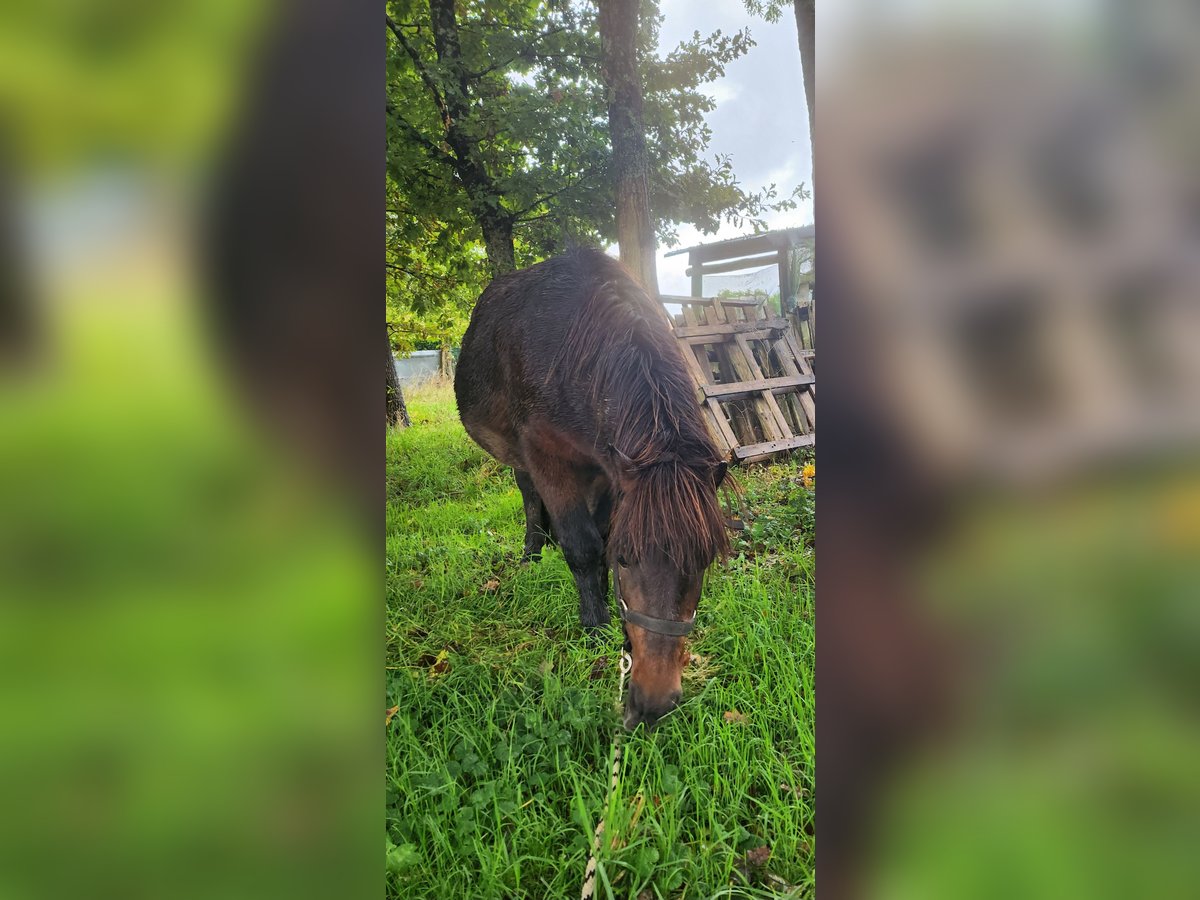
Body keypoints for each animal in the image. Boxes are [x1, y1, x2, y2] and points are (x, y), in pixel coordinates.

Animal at [451, 248, 724, 734]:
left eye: (705, 561)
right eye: (627, 559)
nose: (654, 703)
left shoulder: (611, 472)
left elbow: (598, 540)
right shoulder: (547, 458)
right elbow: (583, 547)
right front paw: (595, 628)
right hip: (520, 457)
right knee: (529, 494)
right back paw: (533, 551)